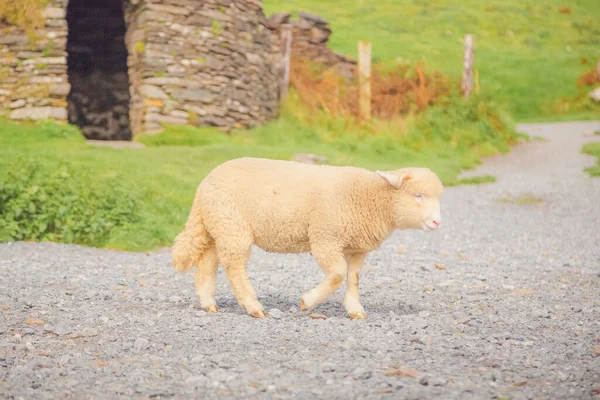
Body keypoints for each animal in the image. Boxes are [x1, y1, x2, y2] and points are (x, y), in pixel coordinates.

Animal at [171, 156, 442, 318]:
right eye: (418, 195)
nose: (437, 222)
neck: (370, 198)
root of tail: (204, 185)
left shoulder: (357, 248)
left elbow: (353, 278)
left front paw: (355, 310)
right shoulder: (325, 237)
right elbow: (337, 274)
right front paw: (308, 302)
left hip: (218, 226)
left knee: (207, 263)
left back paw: (208, 303)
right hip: (232, 226)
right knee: (234, 267)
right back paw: (254, 307)